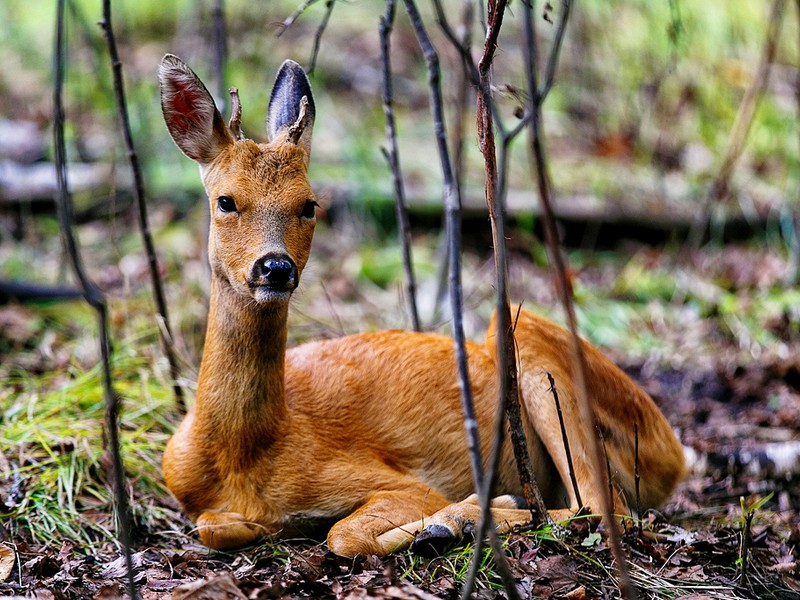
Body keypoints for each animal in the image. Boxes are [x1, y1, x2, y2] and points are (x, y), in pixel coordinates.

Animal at [159, 55, 684, 556]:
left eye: (309, 204)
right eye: (225, 201)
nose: (275, 267)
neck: (245, 456)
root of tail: (676, 455)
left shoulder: (394, 480)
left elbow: (343, 534)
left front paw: (450, 517)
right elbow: (210, 526)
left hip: (527, 338)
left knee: (603, 507)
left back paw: (464, 518)